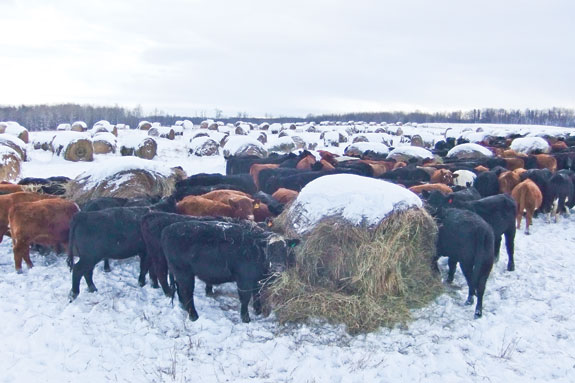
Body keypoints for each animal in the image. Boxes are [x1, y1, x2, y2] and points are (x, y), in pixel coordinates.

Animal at [160, 219, 300, 324]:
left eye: (284, 249)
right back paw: (193, 316)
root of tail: (167, 229)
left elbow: (257, 294)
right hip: (184, 272)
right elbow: (245, 298)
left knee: (180, 290)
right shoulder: (244, 279)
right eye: (269, 249)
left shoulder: (256, 279)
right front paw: (246, 318)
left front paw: (258, 310)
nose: (278, 267)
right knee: (187, 292)